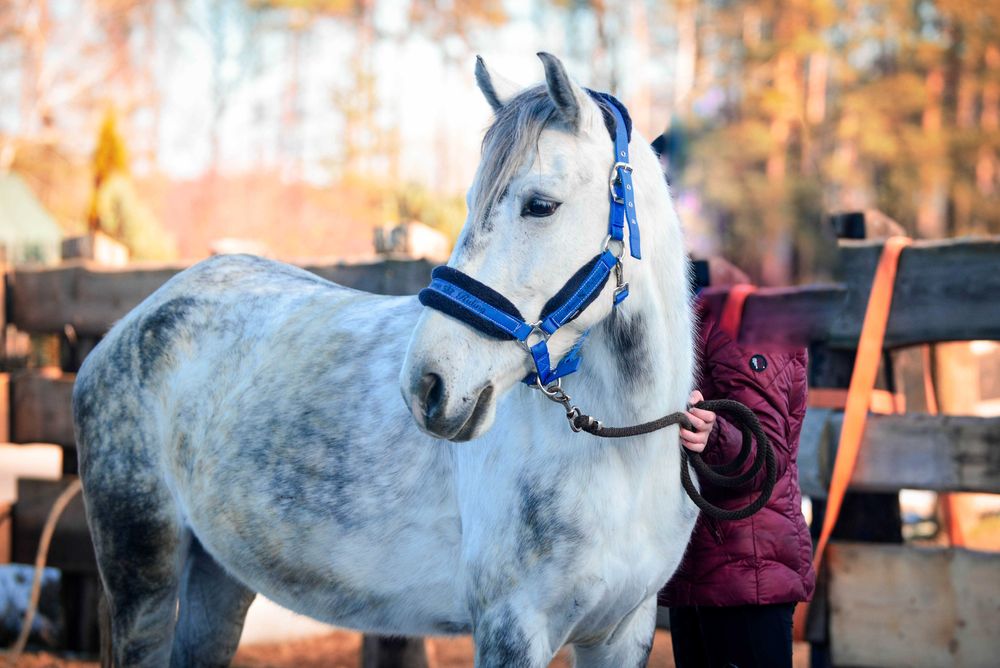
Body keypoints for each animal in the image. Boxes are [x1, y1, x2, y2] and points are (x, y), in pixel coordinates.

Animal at [74, 53, 696, 668]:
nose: (427, 385)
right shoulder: (512, 628)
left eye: (541, 205)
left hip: (218, 578)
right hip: (142, 578)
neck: (623, 459)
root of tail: (132, 323)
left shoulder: (622, 633)